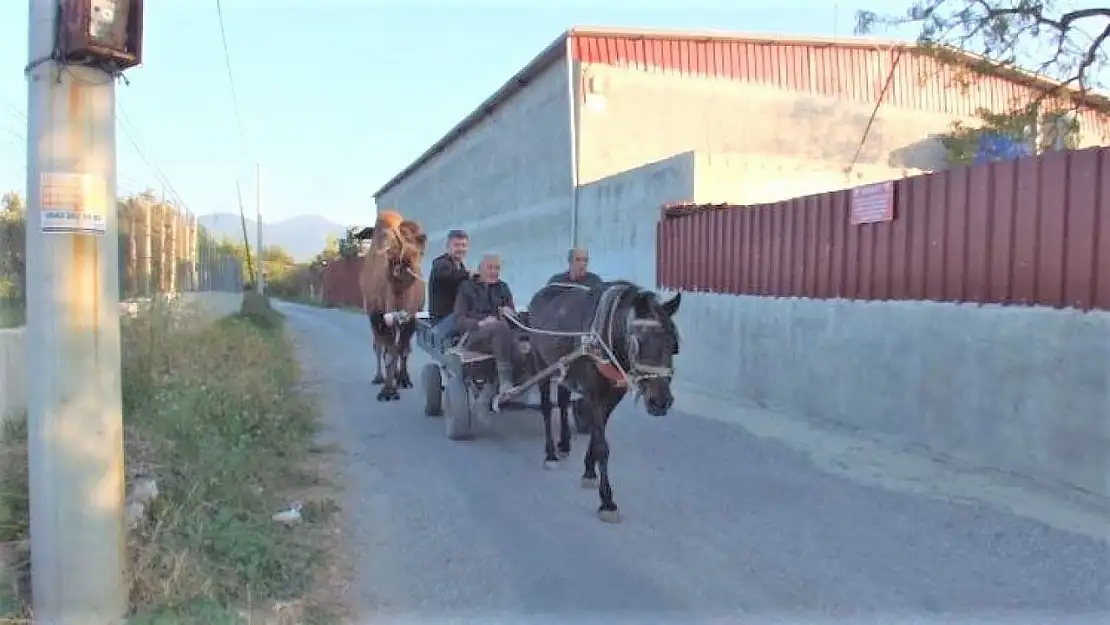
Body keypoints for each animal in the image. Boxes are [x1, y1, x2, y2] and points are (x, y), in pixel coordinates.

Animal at [357, 209, 426, 404]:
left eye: (418, 252)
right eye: (391, 257)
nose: (405, 258)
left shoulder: (412, 318)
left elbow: (403, 350)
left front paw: (403, 380)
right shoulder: (378, 317)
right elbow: (387, 353)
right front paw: (387, 391)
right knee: (380, 347)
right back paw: (379, 377)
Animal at [526, 281, 679, 523]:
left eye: (673, 344)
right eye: (638, 342)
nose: (660, 402)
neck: (607, 337)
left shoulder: (613, 395)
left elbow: (597, 436)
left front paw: (589, 471)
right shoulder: (593, 393)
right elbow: (602, 445)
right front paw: (607, 501)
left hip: (562, 366)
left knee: (563, 401)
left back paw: (564, 444)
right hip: (540, 362)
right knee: (546, 407)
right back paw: (550, 454)